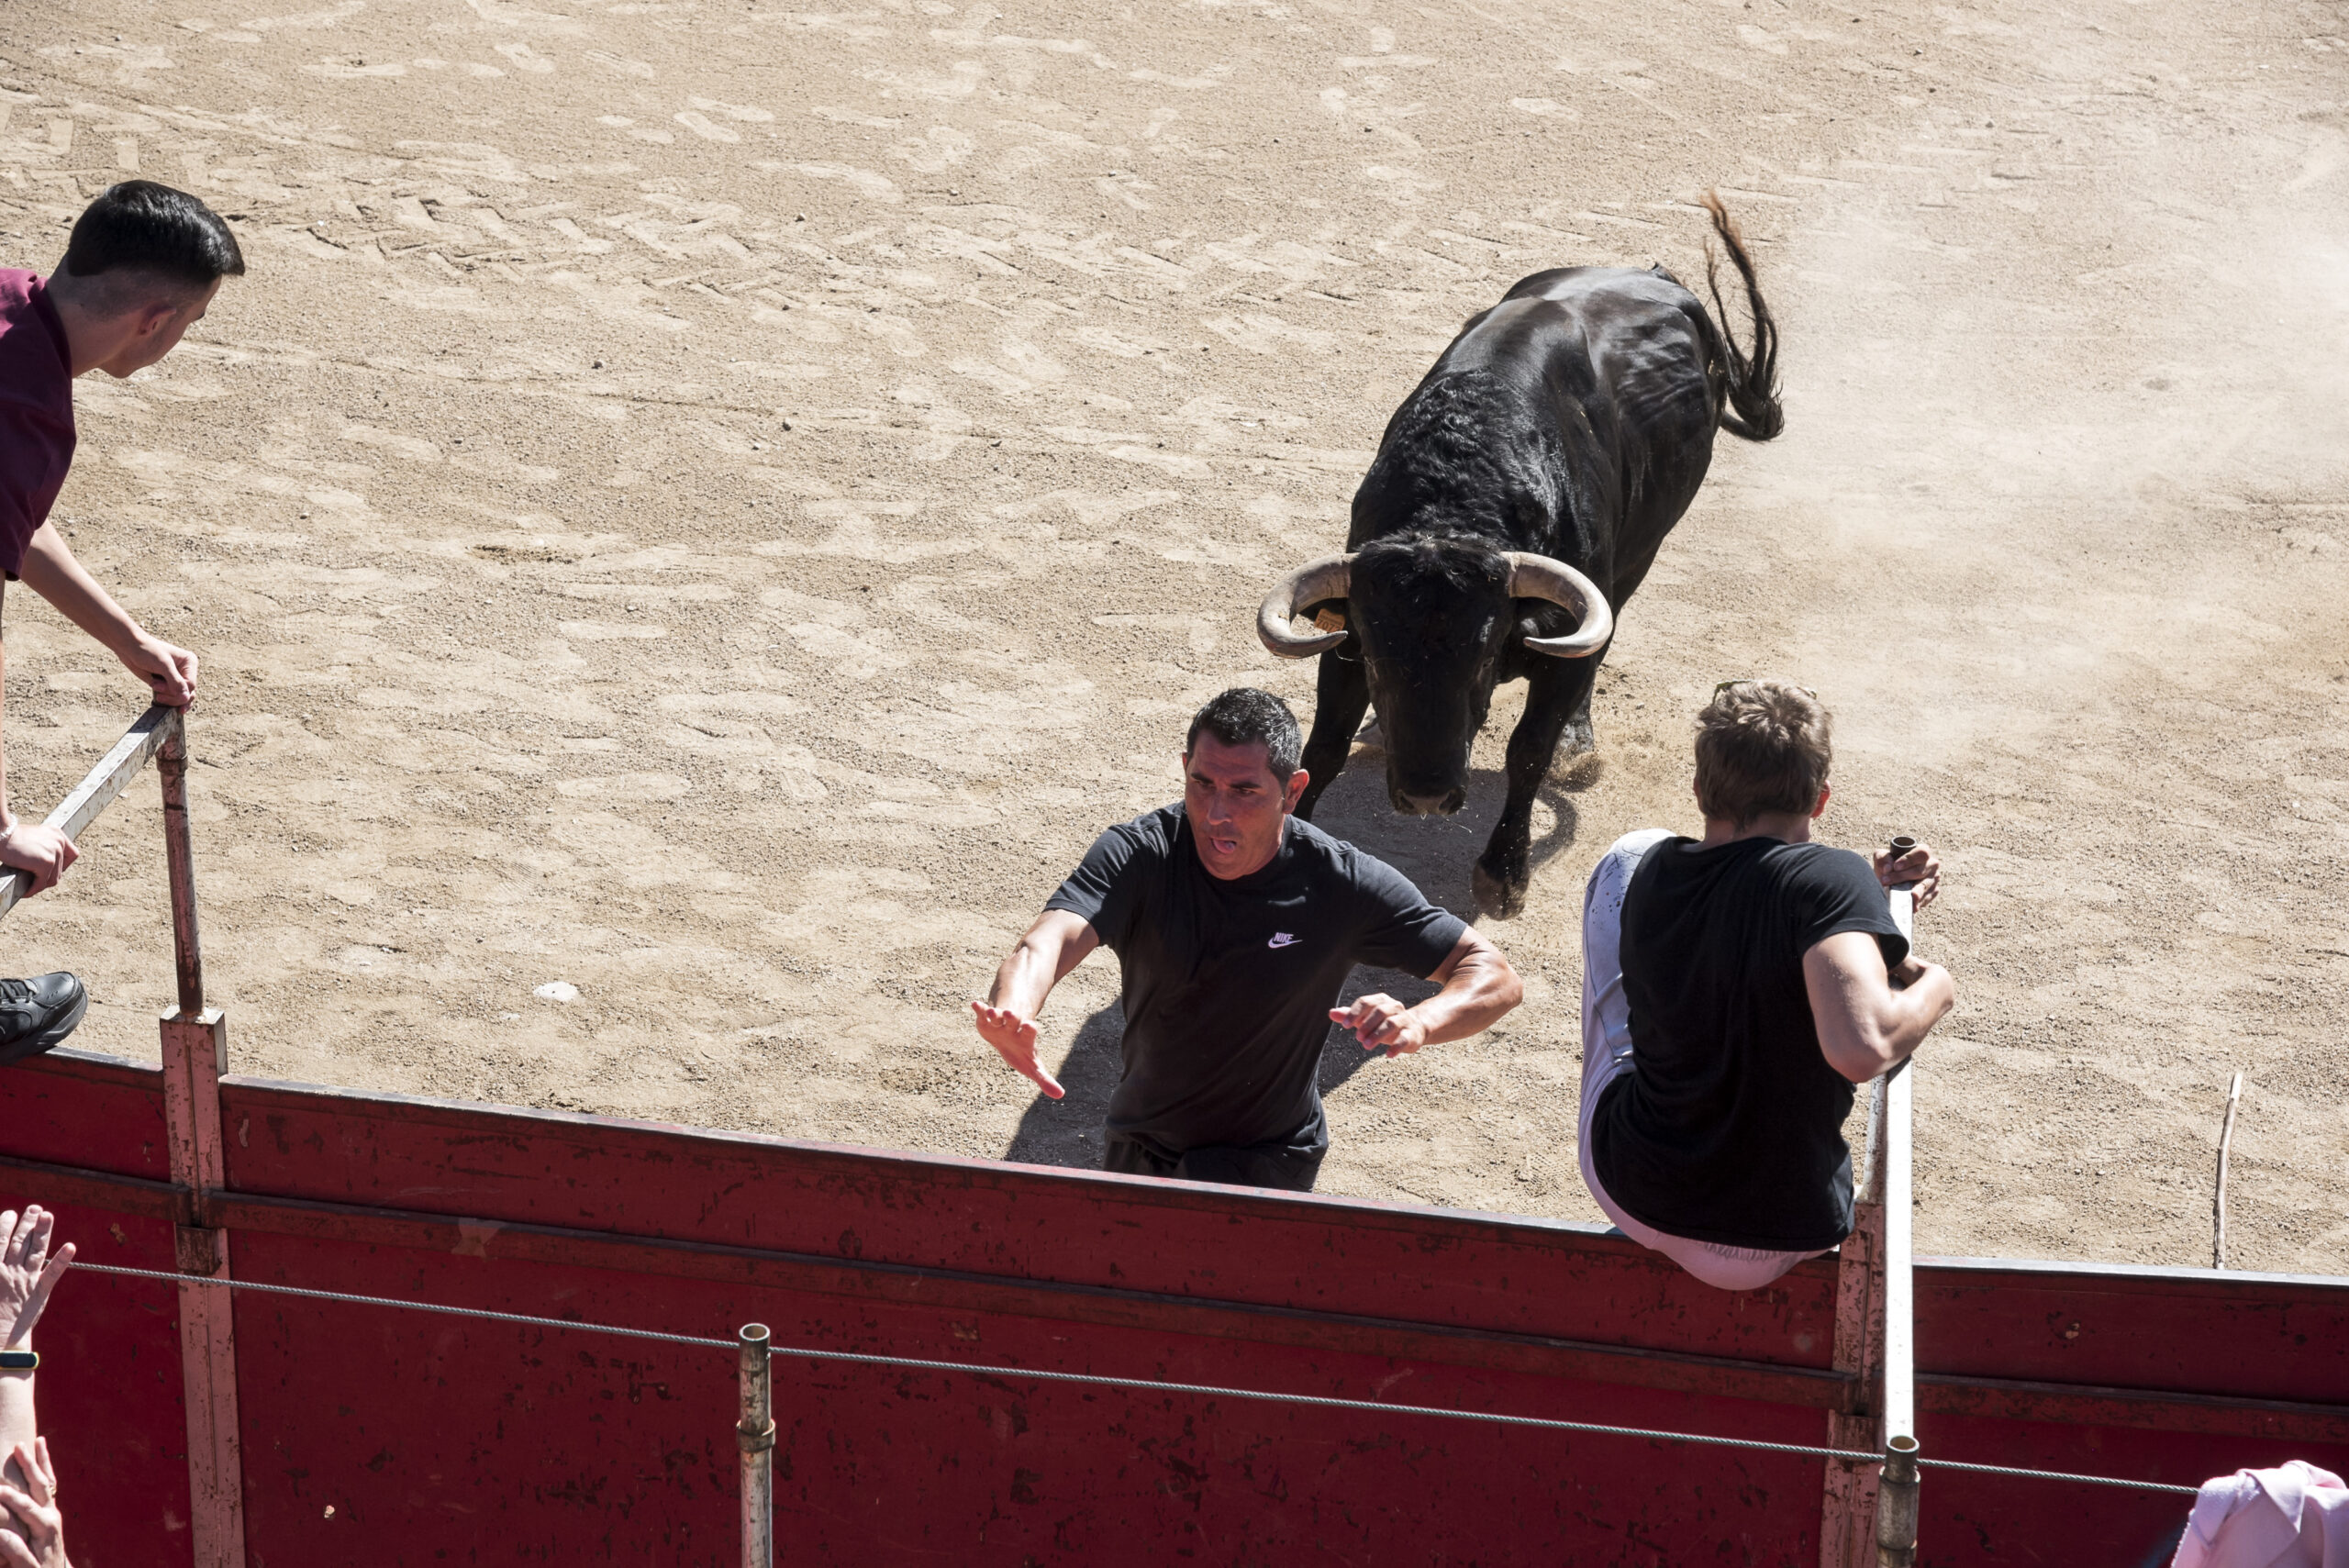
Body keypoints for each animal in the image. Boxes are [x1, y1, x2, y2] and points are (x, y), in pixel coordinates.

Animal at [1249, 195, 1776, 910]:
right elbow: (1322, 746)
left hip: (1639, 558)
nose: (1426, 795)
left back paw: (1578, 742)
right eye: (1381, 664)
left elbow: (1529, 748)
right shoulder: (1346, 640)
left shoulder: (1559, 650)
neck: (1463, 476)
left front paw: (1503, 872)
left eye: (1482, 658)